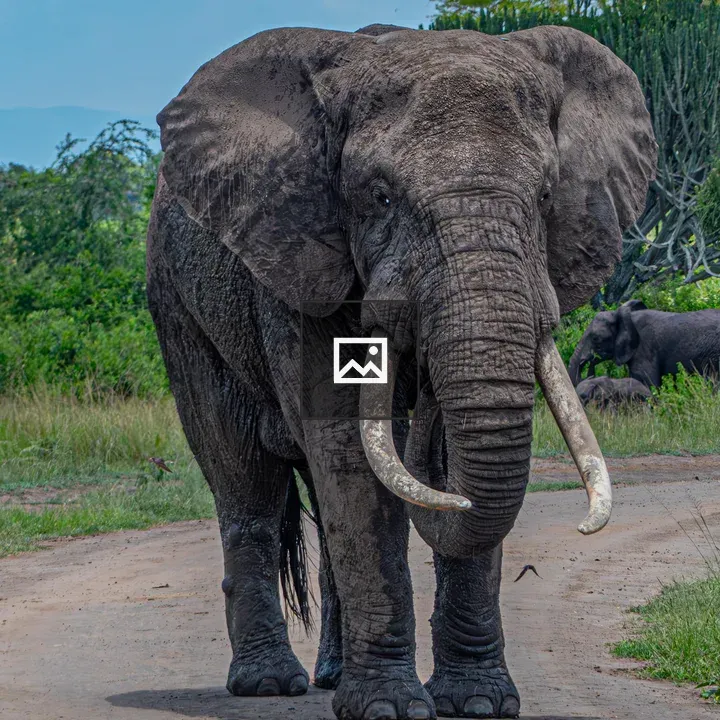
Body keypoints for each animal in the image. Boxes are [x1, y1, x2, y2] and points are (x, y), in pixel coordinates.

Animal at [146, 22, 656, 720]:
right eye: (381, 197)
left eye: (546, 196)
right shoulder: (304, 263)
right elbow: (348, 456)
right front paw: (387, 709)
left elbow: (431, 465)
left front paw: (477, 704)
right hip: (178, 306)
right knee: (243, 478)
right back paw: (268, 683)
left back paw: (331, 674)